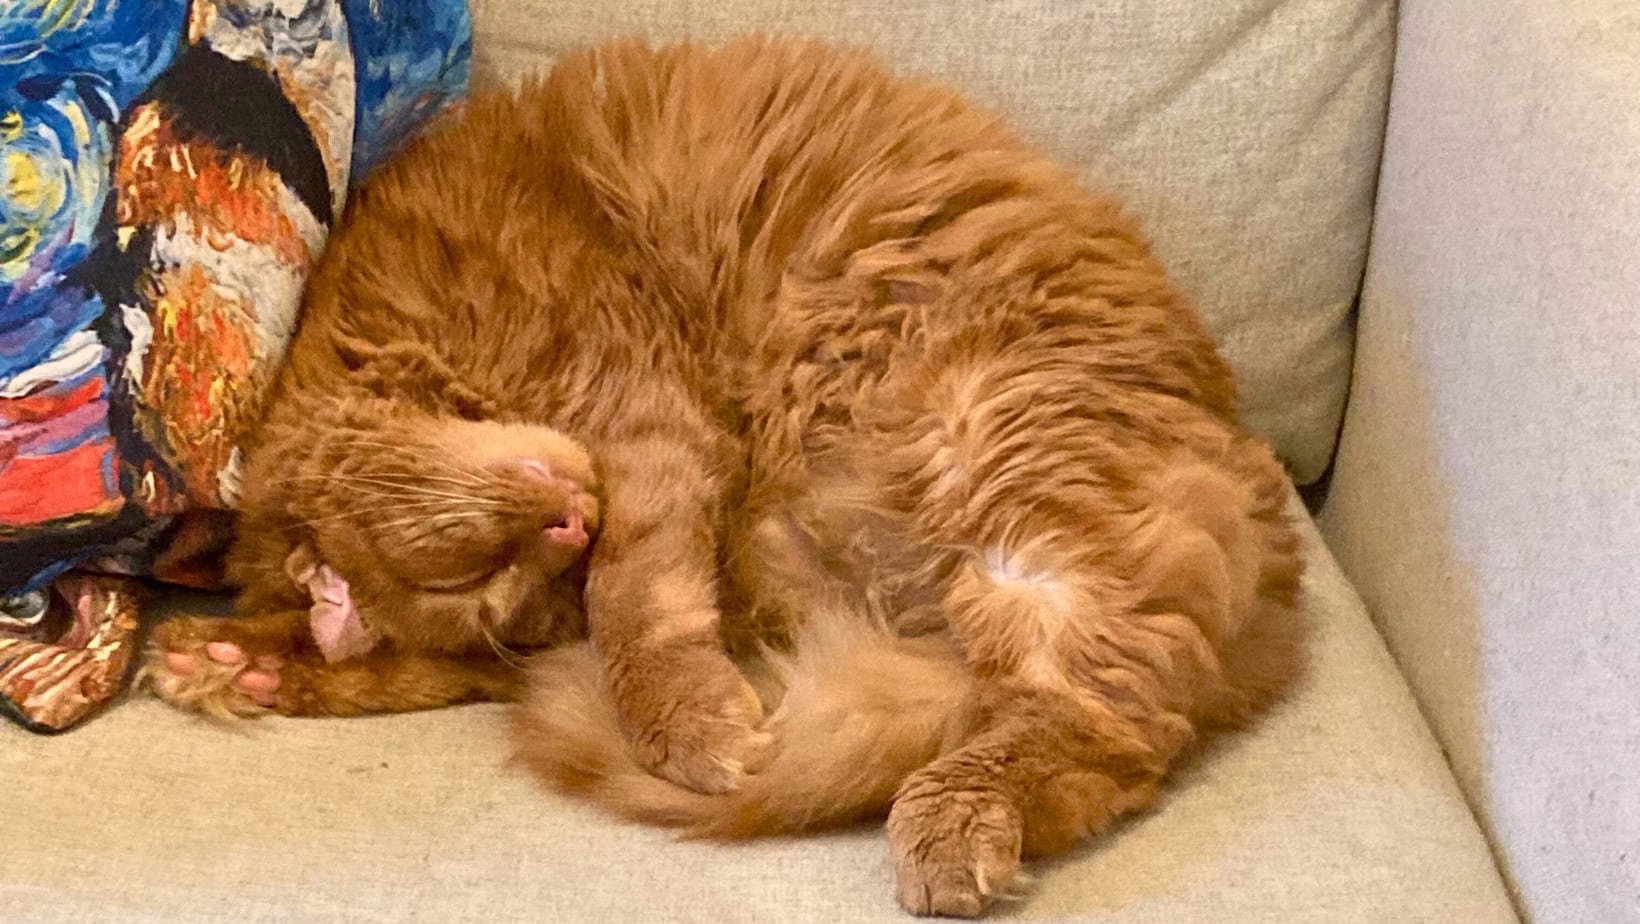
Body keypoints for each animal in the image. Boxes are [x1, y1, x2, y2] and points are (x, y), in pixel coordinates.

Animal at [141, 36, 1298, 919]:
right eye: (497, 591)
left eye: (476, 564)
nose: (567, 524)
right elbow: (415, 668)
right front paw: (229, 662)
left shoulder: (642, 423)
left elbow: (638, 609)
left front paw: (693, 730)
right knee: (1100, 751)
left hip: (1005, 469)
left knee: (1110, 726)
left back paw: (947, 830)